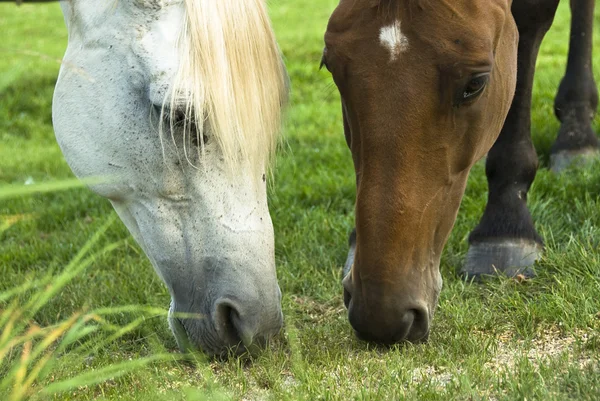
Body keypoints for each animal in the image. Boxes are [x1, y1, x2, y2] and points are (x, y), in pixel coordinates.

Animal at [326, 0, 596, 344]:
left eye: (475, 84)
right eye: (331, 67)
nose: (379, 314)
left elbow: (530, 22)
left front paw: (506, 225)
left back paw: (578, 134)